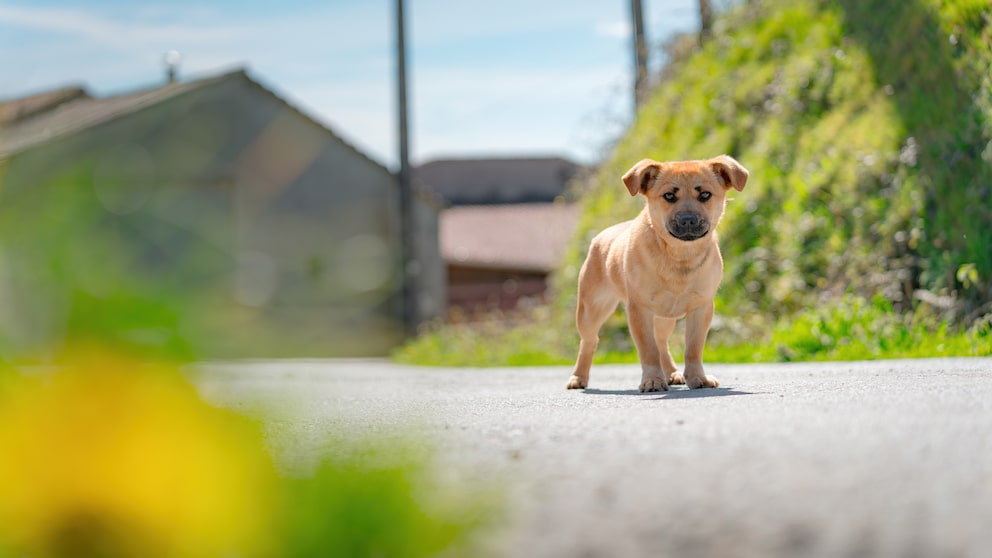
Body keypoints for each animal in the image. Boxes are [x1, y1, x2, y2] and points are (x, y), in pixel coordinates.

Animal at [560, 155, 748, 394]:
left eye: (705, 194)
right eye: (669, 196)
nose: (688, 219)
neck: (678, 255)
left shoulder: (701, 307)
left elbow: (693, 348)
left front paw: (697, 377)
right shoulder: (639, 310)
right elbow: (648, 350)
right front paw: (652, 380)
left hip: (664, 317)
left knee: (661, 342)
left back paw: (672, 373)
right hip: (591, 310)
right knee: (589, 341)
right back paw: (578, 377)